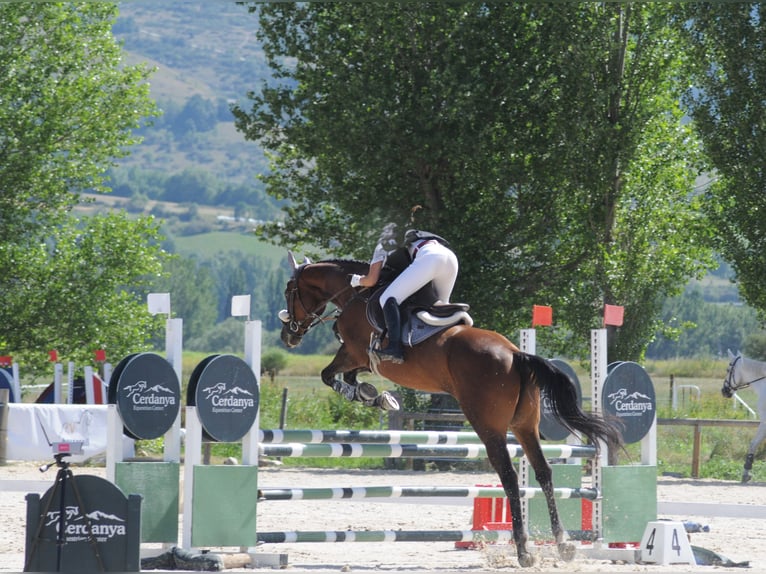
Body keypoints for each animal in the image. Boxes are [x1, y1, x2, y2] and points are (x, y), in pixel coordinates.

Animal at [282, 254, 624, 568]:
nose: (289, 336)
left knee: (510, 475)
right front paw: (375, 396)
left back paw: (523, 551)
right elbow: (349, 378)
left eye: (288, 291)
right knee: (543, 472)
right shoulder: (359, 359)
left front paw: (369, 395)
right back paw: (563, 544)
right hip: (525, 425)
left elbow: (330, 375)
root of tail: (516, 354)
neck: (356, 295)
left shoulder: (354, 352)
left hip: (488, 425)